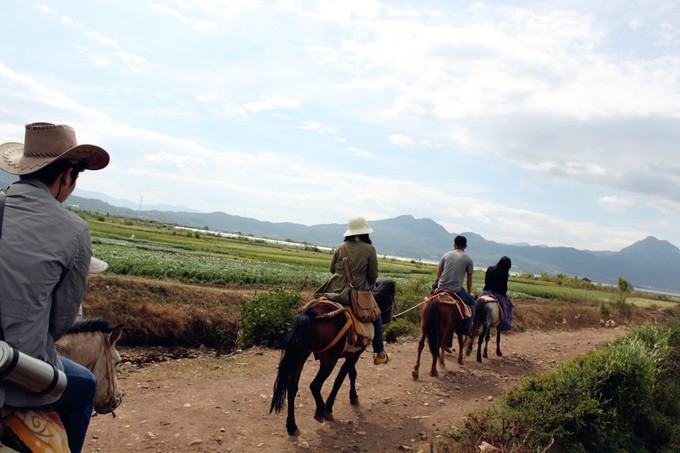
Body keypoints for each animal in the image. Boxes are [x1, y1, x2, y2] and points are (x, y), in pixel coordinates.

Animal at [266, 278, 394, 434]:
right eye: (393, 300)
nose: (388, 319)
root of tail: (309, 313)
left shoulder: (351, 354)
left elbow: (352, 374)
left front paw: (353, 397)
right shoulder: (355, 355)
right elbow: (340, 379)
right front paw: (335, 404)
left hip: (300, 355)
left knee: (292, 388)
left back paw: (292, 426)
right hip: (328, 360)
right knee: (315, 385)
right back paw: (323, 411)